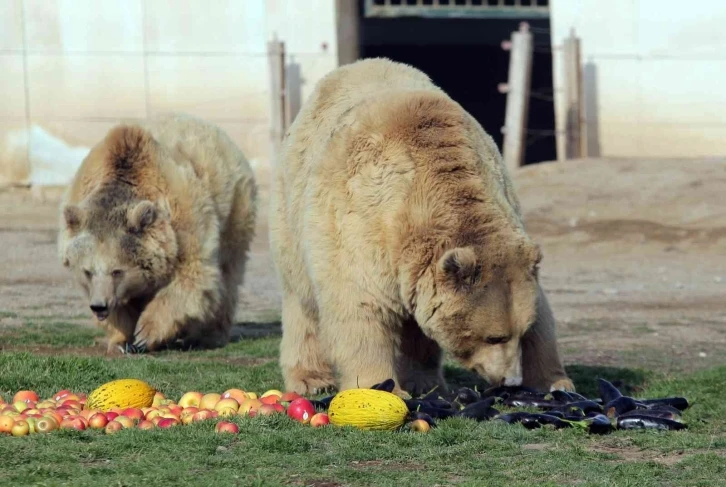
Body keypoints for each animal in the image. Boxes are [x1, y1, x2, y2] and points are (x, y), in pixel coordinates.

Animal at [59, 112, 258, 352]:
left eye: (117, 271)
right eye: (87, 271)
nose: (99, 306)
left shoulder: (181, 222)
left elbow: (191, 275)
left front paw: (145, 333)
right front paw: (121, 340)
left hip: (235, 209)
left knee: (228, 274)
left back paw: (208, 335)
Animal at [270, 57, 576, 396]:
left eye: (519, 332)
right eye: (493, 337)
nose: (510, 381)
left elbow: (541, 311)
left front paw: (556, 382)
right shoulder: (361, 221)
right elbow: (361, 306)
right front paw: (382, 388)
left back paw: (425, 380)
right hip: (293, 207)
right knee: (302, 298)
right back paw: (311, 379)